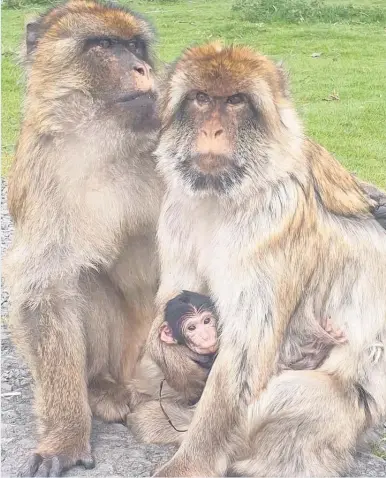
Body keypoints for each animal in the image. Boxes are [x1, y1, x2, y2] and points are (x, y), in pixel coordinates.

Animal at [4, 1, 164, 476]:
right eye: (105, 44)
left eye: (136, 46)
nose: (143, 68)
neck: (107, 144)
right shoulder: (43, 168)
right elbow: (47, 292)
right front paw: (67, 435)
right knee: (81, 280)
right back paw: (99, 389)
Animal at [146, 43, 386, 476]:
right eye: (201, 98)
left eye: (235, 101)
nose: (212, 131)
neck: (223, 198)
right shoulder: (176, 211)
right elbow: (172, 299)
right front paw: (180, 363)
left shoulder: (272, 225)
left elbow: (245, 351)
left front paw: (191, 462)